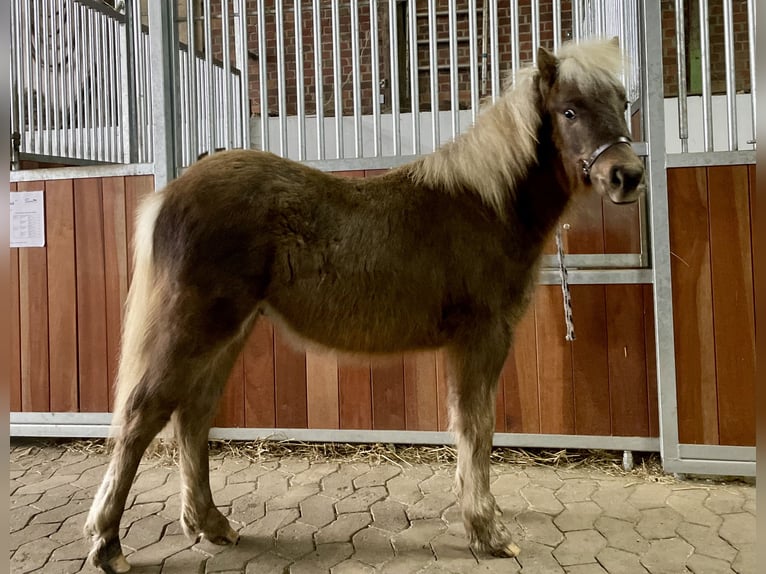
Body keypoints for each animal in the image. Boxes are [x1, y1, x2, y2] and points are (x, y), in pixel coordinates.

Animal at [84, 38, 648, 572]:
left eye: (622, 102)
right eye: (569, 110)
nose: (627, 176)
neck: (484, 205)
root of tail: (171, 193)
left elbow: (468, 426)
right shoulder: (482, 337)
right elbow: (477, 426)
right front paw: (488, 533)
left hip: (230, 331)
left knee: (194, 416)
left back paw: (211, 524)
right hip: (197, 325)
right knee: (143, 413)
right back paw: (108, 544)